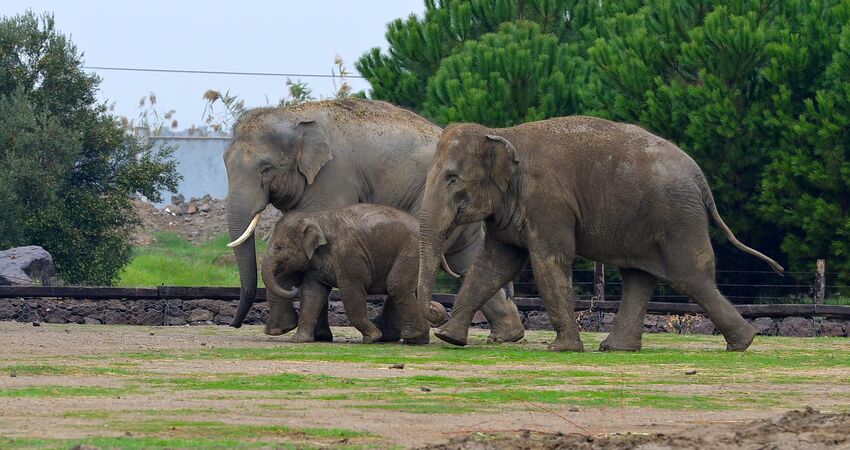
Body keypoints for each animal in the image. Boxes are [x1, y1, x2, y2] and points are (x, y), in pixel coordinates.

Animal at [262, 204, 448, 344]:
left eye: (279, 247)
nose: (292, 286)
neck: (316, 217)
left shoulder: (348, 256)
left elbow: (351, 292)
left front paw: (372, 338)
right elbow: (312, 294)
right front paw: (299, 340)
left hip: (412, 253)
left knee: (398, 286)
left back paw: (411, 336)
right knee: (411, 290)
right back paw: (418, 340)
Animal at [414, 118, 780, 354]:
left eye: (452, 179)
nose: (434, 317)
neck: (503, 134)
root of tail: (700, 178)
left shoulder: (548, 201)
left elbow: (549, 261)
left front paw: (561, 349)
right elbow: (492, 266)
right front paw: (450, 339)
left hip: (677, 217)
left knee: (690, 277)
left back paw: (742, 343)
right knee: (639, 276)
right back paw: (617, 349)